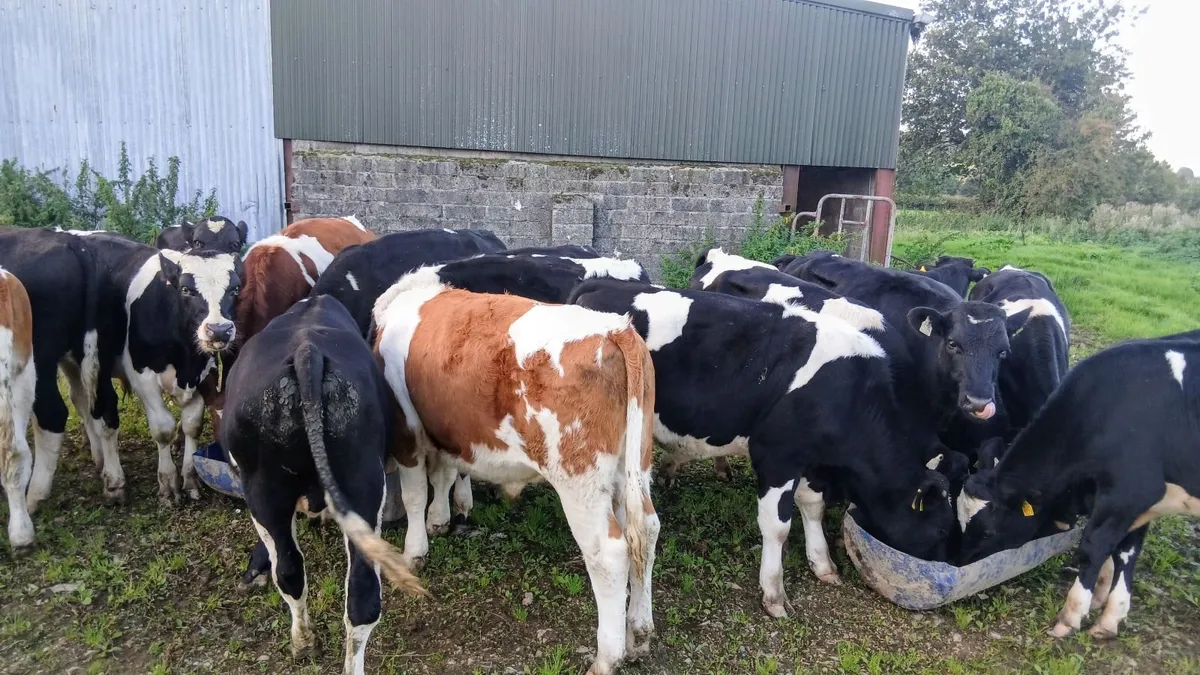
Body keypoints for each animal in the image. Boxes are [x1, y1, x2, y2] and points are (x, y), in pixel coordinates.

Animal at [220, 295, 427, 674]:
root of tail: (307, 353)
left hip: (269, 490)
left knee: (309, 577)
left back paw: (305, 641)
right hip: (353, 484)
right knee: (343, 589)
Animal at [373, 276, 658, 675]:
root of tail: (615, 328)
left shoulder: (406, 430)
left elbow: (415, 493)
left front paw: (415, 550)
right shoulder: (446, 429)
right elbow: (443, 475)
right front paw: (439, 520)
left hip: (579, 480)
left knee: (609, 554)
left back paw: (606, 657)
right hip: (631, 468)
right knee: (644, 531)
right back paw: (639, 634)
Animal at [568, 279, 955, 611]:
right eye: (940, 526)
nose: (948, 561)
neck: (848, 393)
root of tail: (596, 285)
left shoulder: (810, 460)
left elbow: (813, 506)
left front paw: (823, 563)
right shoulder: (776, 456)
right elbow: (777, 525)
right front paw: (774, 592)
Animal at [958, 331, 1200, 640]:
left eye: (988, 532)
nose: (960, 562)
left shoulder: (1131, 492)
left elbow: (1094, 547)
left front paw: (1072, 615)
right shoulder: (1142, 501)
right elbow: (1125, 551)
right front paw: (1109, 612)